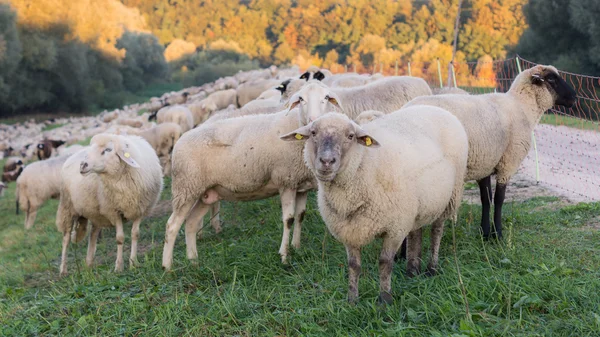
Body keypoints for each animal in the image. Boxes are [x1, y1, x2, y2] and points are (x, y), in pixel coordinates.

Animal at [56, 133, 163, 274]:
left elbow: (135, 234)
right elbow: (120, 238)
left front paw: (133, 263)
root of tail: (71, 156)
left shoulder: (140, 209)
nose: (83, 165)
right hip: (67, 207)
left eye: (108, 150)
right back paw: (63, 270)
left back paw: (89, 263)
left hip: (95, 212)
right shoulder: (114, 211)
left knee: (93, 234)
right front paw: (118, 267)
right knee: (66, 239)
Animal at [162, 107, 316, 270]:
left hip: (206, 194)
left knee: (191, 222)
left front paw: (297, 247)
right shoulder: (286, 181)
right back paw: (167, 267)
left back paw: (193, 261)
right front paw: (284, 257)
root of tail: (180, 140)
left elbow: (300, 216)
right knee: (172, 226)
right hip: (186, 188)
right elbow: (289, 219)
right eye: (302, 102)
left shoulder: (302, 185)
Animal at [282, 109, 468, 304]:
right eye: (313, 133)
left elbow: (385, 263)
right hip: (417, 206)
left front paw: (384, 300)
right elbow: (353, 265)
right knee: (416, 233)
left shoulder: (394, 229)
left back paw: (431, 268)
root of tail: (435, 108)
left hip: (449, 197)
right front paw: (352, 300)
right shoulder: (349, 230)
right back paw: (412, 272)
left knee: (436, 232)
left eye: (350, 136)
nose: (326, 161)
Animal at [404, 64, 576, 239]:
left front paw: (484, 232)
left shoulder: (485, 163)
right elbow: (499, 199)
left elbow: (486, 198)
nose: (574, 96)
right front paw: (497, 233)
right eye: (551, 79)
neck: (523, 107)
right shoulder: (508, 163)